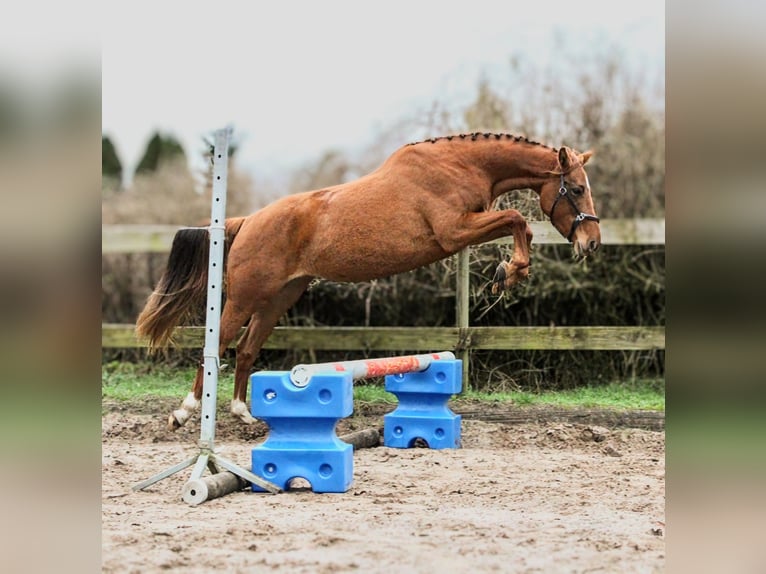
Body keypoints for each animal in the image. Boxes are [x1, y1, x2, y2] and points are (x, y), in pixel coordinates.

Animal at [135, 135, 604, 430]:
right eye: (577, 189)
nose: (592, 243)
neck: (459, 165)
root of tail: (248, 220)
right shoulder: (455, 232)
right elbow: (517, 219)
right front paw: (509, 272)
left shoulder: (465, 228)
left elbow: (517, 223)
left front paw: (509, 273)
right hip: (246, 298)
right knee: (217, 347)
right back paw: (184, 413)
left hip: (279, 298)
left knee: (247, 349)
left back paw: (241, 413)